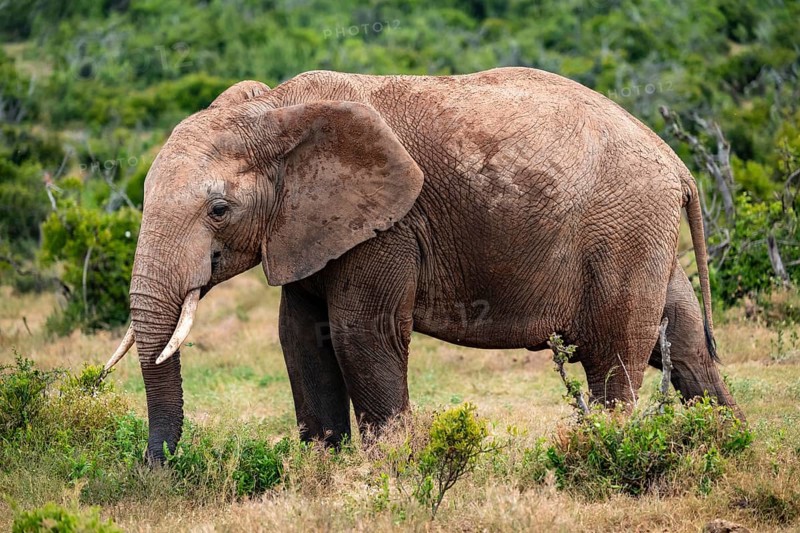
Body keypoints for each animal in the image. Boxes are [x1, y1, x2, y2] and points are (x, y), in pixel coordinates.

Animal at [106, 67, 741, 464]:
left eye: (218, 210)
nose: (154, 468)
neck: (278, 109)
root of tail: (678, 164)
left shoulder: (389, 227)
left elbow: (362, 335)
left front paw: (389, 470)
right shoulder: (308, 228)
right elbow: (301, 337)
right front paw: (323, 471)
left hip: (623, 231)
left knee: (613, 357)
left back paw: (614, 453)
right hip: (646, 235)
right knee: (685, 344)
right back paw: (727, 445)